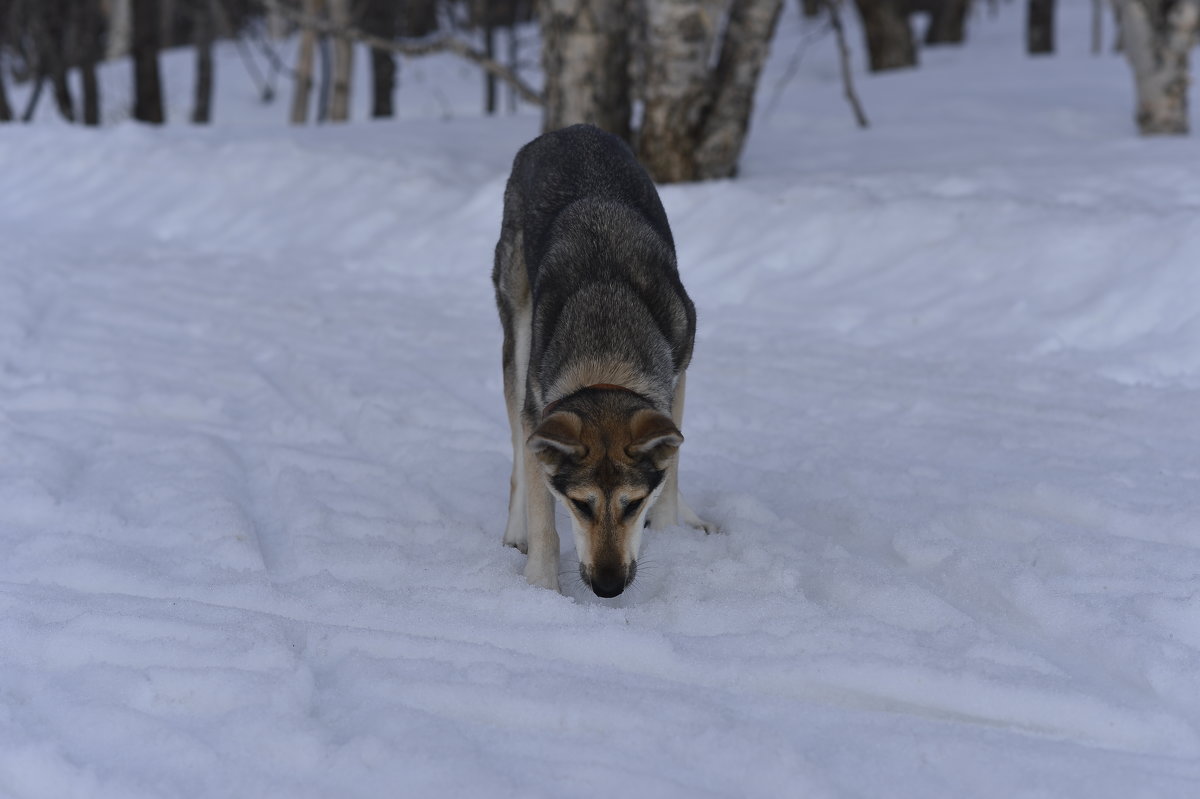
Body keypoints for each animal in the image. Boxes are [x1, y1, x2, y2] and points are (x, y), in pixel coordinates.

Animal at [489, 124, 710, 595]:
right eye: (580, 504)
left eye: (633, 503)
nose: (608, 588)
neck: (606, 356)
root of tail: (569, 129)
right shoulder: (540, 410)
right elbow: (544, 518)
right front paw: (542, 587)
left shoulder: (678, 373)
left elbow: (670, 469)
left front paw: (671, 531)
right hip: (517, 332)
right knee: (518, 452)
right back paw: (515, 531)